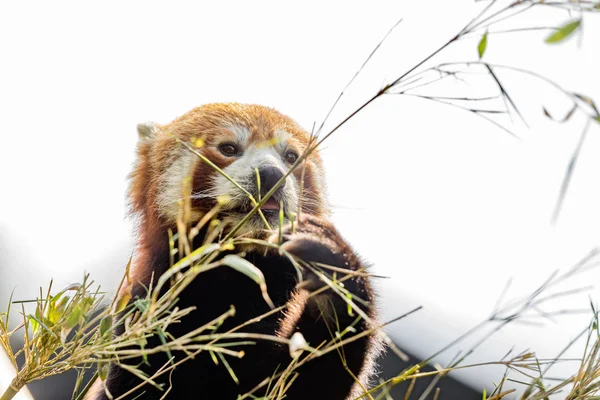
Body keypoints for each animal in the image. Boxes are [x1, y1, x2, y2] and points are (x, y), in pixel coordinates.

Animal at [90, 104, 380, 400]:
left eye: (291, 156)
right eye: (228, 148)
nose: (271, 174)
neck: (235, 276)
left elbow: (317, 379)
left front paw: (333, 275)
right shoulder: (147, 315)